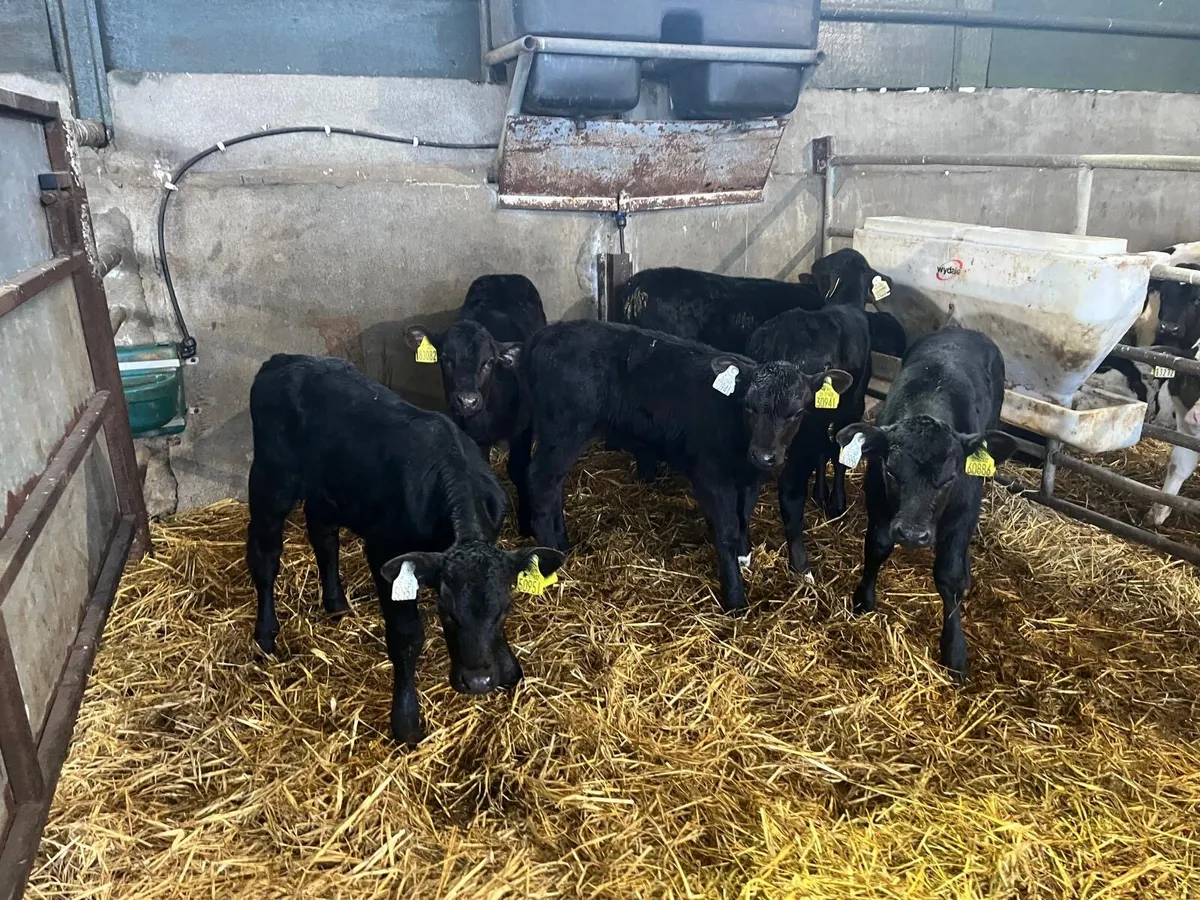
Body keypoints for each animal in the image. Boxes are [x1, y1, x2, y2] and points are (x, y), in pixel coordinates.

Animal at [245, 354, 564, 744]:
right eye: (447, 614)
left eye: (504, 611)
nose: (478, 682)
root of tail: (283, 360)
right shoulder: (386, 553)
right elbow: (406, 636)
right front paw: (406, 720)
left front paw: (507, 668)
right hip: (270, 481)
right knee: (265, 555)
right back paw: (265, 633)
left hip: (328, 489)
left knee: (323, 534)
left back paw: (336, 603)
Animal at [406, 274, 546, 534]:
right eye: (446, 359)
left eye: (489, 362)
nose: (467, 401)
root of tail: (502, 275)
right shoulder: (470, 432)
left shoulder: (523, 427)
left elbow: (519, 469)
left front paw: (526, 523)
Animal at [521, 319, 850, 613]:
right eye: (749, 406)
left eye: (796, 413)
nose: (764, 456)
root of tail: (544, 334)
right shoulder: (712, 477)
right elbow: (727, 530)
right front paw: (735, 599)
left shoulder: (749, 478)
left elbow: (743, 516)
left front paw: (745, 558)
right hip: (563, 431)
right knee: (540, 482)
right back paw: (550, 558)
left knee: (553, 485)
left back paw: (563, 544)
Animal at [835, 327, 1017, 681]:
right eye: (891, 471)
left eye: (949, 478)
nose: (913, 534)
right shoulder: (878, 505)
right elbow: (877, 547)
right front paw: (864, 599)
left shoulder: (963, 515)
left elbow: (949, 576)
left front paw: (954, 650)